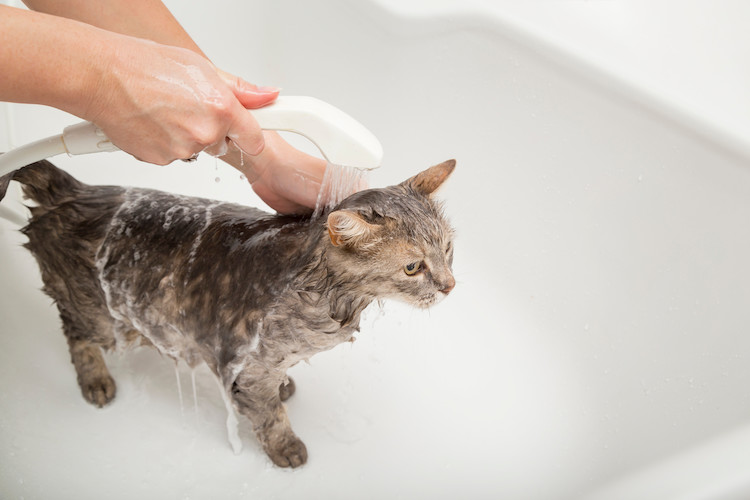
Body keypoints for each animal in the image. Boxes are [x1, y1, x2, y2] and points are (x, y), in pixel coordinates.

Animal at [0, 158, 458, 466]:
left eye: (448, 249)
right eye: (413, 267)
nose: (450, 286)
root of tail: (74, 191)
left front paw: (285, 386)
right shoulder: (248, 360)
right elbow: (270, 415)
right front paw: (285, 445)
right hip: (102, 318)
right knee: (75, 333)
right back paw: (95, 380)